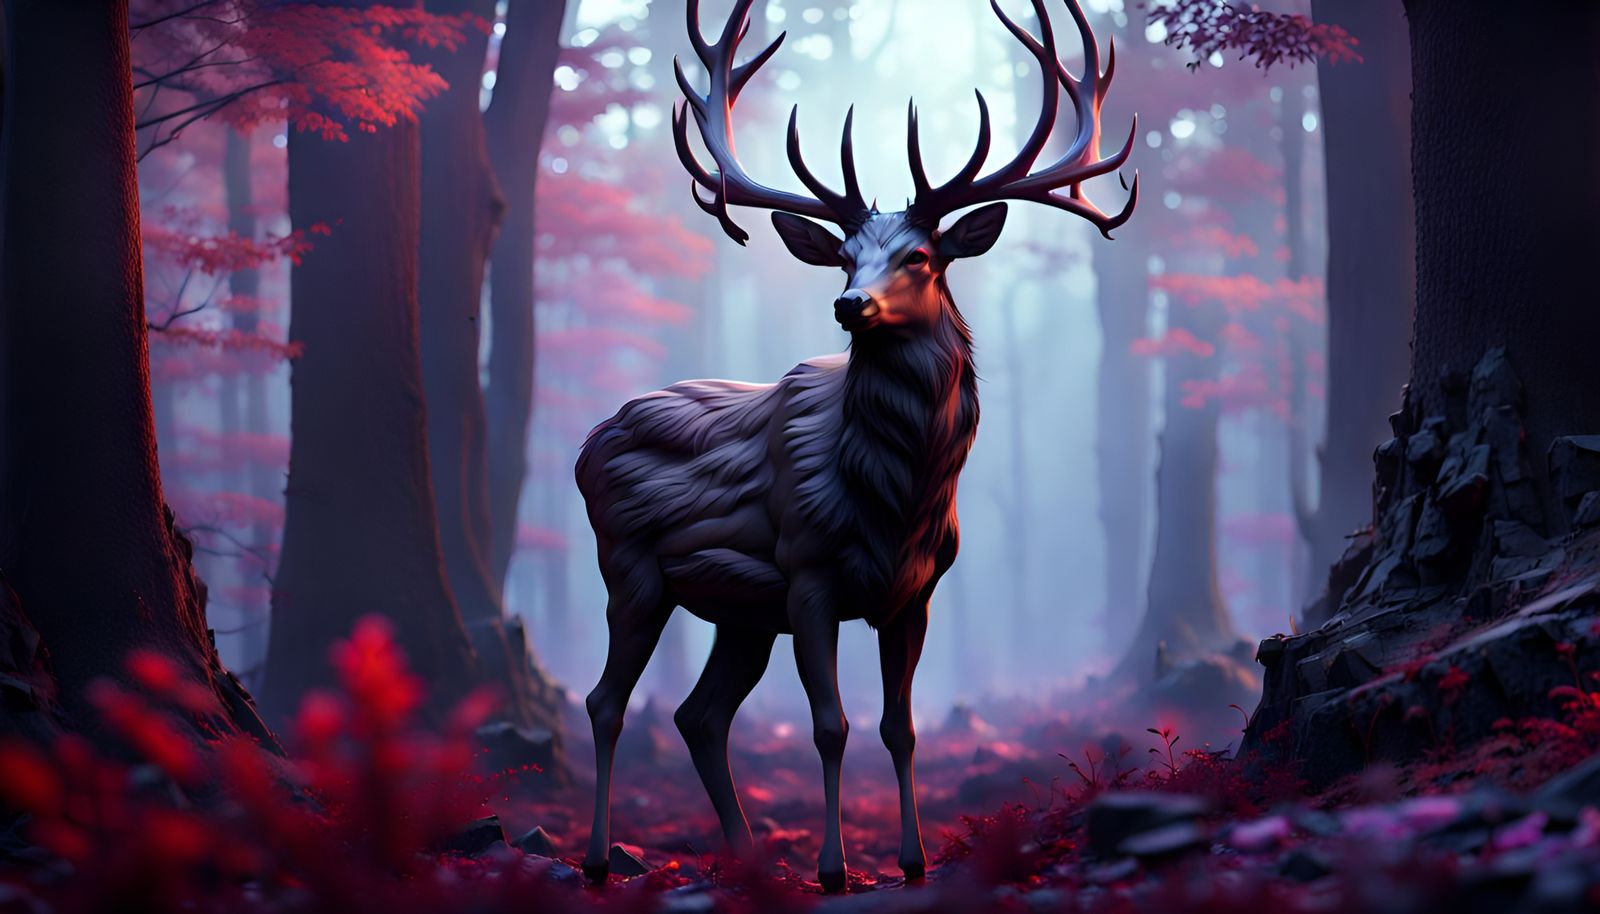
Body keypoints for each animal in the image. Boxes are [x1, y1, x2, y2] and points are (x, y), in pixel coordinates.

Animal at [575, 0, 1136, 892]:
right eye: (842, 255)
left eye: (921, 255)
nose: (850, 305)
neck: (893, 499)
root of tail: (589, 442)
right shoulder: (809, 573)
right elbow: (830, 725)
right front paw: (836, 870)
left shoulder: (916, 591)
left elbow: (899, 728)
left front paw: (912, 861)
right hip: (630, 566)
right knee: (607, 701)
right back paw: (599, 861)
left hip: (742, 612)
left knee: (700, 715)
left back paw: (748, 862)